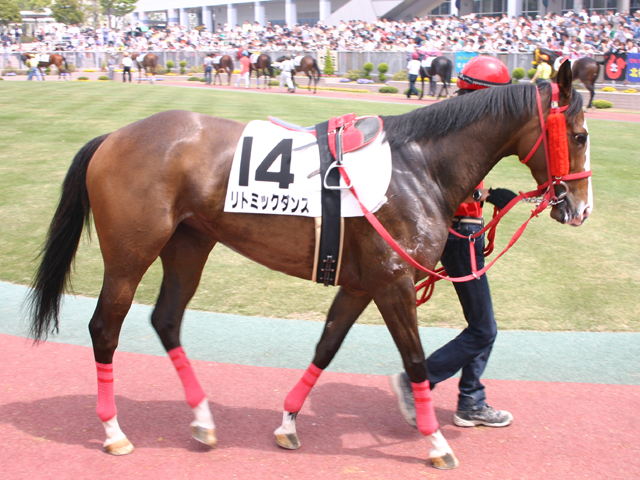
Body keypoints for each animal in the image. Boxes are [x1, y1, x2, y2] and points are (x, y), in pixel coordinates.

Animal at [27, 61, 591, 469]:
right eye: (581, 135)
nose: (580, 208)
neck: (417, 167)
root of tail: (113, 137)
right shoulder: (393, 283)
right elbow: (413, 361)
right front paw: (436, 445)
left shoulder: (362, 284)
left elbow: (327, 346)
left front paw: (288, 423)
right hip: (131, 253)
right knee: (105, 328)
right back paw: (114, 432)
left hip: (189, 244)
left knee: (166, 320)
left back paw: (204, 420)